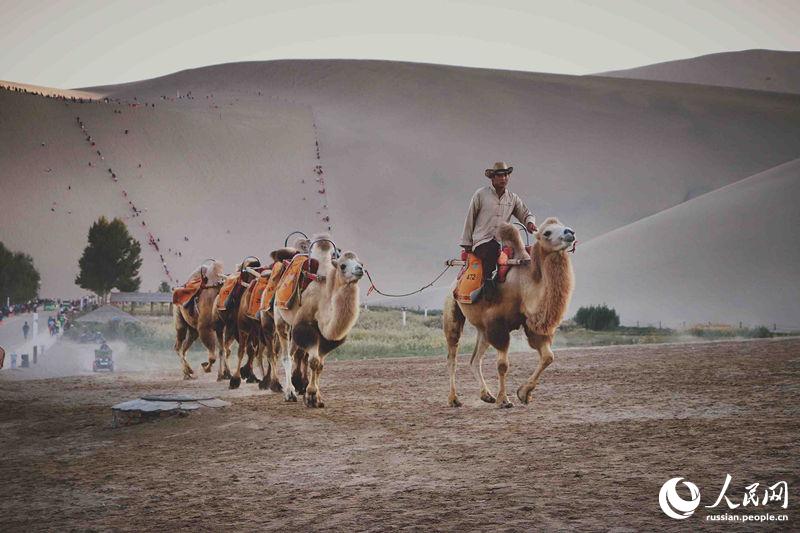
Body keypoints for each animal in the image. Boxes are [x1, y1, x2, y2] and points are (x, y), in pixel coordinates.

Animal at [444, 219, 576, 408]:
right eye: (547, 233)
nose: (570, 233)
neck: (524, 285)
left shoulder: (530, 324)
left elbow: (548, 357)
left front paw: (523, 393)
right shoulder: (497, 323)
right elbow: (502, 365)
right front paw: (504, 400)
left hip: (483, 329)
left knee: (475, 359)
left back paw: (486, 395)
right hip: (452, 310)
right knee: (452, 357)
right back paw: (454, 399)